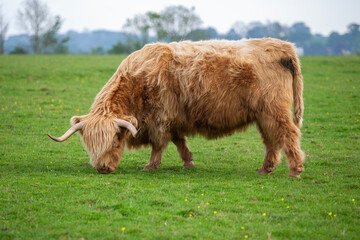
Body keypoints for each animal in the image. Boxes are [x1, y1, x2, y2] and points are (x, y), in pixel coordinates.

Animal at [49, 38, 306, 177]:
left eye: (113, 141)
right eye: (88, 145)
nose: (102, 168)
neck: (137, 80)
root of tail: (283, 46)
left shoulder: (159, 119)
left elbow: (159, 144)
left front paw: (150, 166)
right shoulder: (172, 118)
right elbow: (179, 140)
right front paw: (188, 162)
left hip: (274, 111)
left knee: (288, 135)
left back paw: (295, 170)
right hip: (263, 115)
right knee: (271, 140)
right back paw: (266, 169)